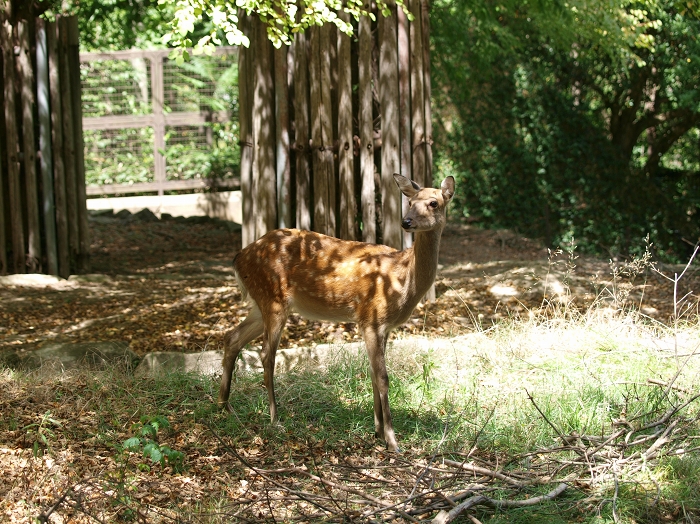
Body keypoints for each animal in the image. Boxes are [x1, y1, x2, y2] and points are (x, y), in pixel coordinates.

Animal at [220, 174, 460, 452]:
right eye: (410, 201)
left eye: (434, 202)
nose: (406, 221)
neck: (402, 279)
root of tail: (238, 258)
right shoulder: (371, 317)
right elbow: (383, 377)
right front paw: (392, 440)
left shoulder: (383, 326)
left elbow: (372, 373)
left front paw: (377, 431)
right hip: (273, 297)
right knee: (266, 354)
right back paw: (274, 418)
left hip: (260, 304)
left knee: (232, 337)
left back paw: (224, 405)